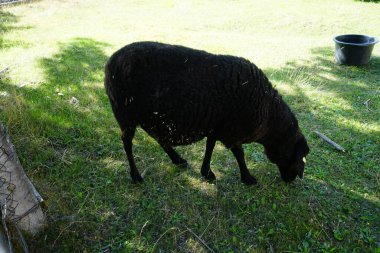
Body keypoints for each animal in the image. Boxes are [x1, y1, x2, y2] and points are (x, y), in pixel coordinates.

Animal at [104, 41, 308, 184]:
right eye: (300, 156)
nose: (291, 180)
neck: (268, 116)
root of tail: (111, 61)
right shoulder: (232, 131)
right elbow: (239, 154)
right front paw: (248, 178)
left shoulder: (217, 125)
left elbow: (210, 147)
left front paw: (207, 172)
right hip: (125, 113)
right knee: (127, 143)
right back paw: (136, 176)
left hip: (151, 116)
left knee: (159, 139)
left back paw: (178, 160)